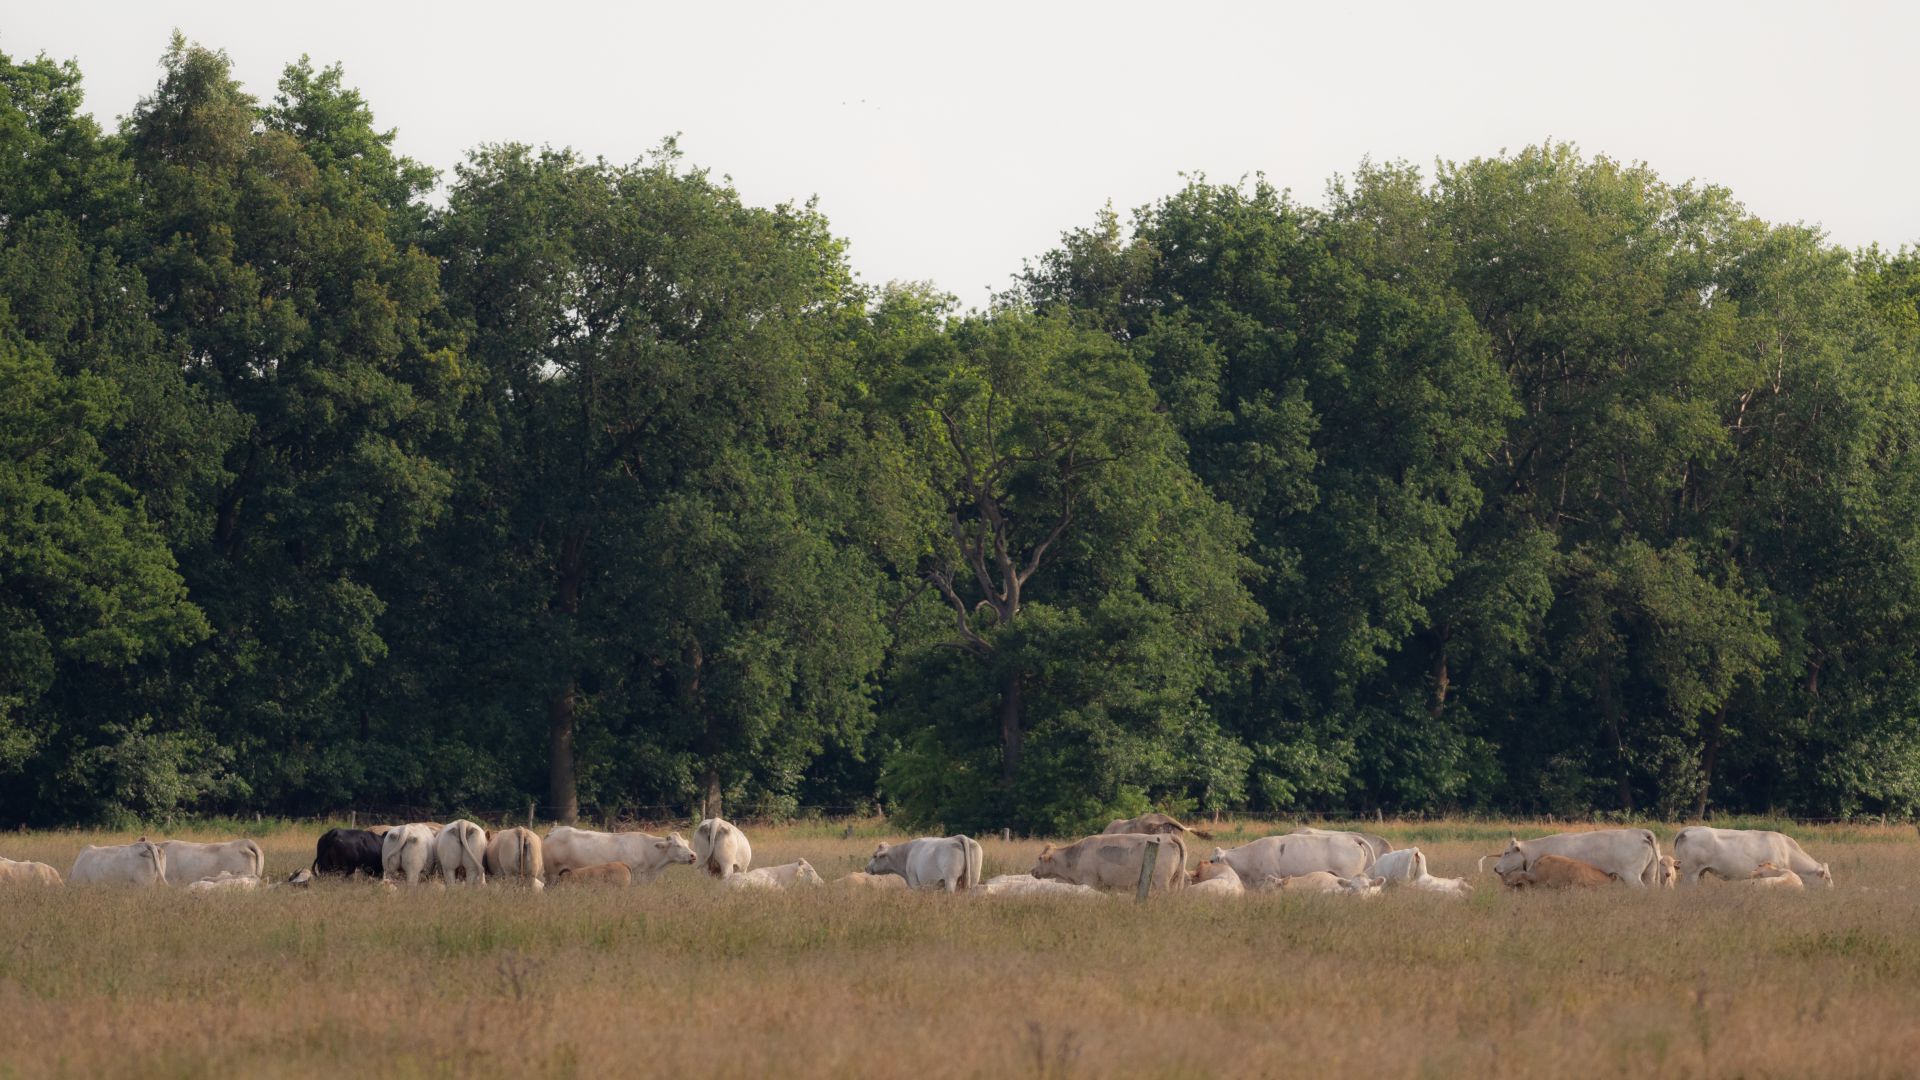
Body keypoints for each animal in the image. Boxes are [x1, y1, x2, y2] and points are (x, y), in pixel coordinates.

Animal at [1036, 826, 1182, 887]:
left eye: (1039, 858)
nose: (1033, 870)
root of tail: (1168, 836)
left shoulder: (1089, 879)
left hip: (1162, 881)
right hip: (1175, 880)